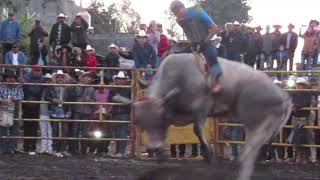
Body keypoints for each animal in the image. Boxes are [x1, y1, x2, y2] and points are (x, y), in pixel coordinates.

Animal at [114, 53, 292, 180]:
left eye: (160, 119)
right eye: (138, 122)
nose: (152, 148)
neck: (180, 77)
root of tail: (284, 96)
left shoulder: (201, 109)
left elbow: (197, 130)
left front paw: (208, 153)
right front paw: (162, 153)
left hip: (256, 124)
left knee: (250, 151)